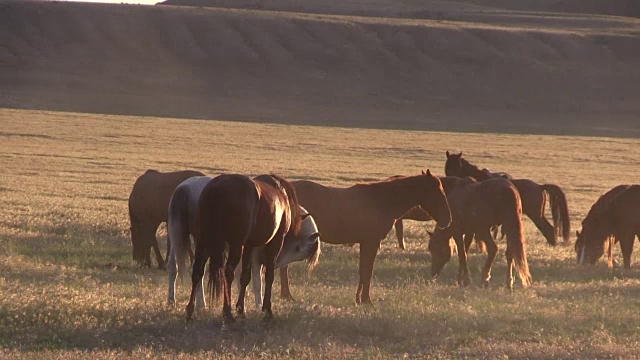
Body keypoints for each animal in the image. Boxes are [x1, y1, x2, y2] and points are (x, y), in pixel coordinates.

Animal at [188, 174, 302, 324]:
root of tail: (216, 188)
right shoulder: (275, 244)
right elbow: (269, 276)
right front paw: (267, 310)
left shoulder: (249, 246)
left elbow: (245, 277)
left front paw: (241, 309)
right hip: (235, 246)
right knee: (228, 273)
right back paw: (227, 312)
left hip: (204, 243)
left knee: (197, 271)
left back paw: (190, 310)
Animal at [282, 170, 452, 306]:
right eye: (437, 192)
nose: (448, 219)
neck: (380, 201)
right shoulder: (372, 242)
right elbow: (367, 271)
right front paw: (366, 300)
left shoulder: (366, 243)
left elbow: (363, 270)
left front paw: (359, 299)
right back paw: (287, 296)